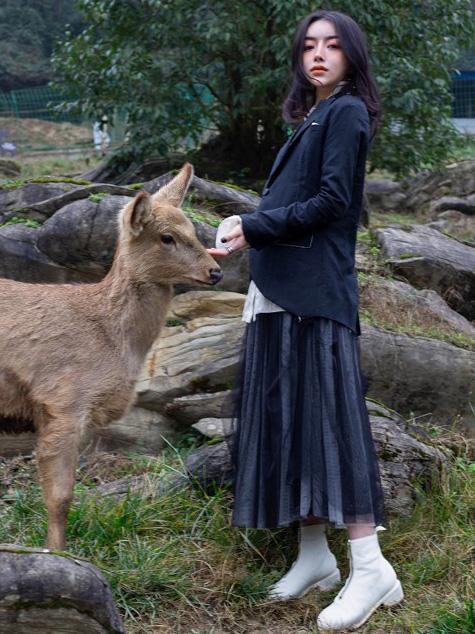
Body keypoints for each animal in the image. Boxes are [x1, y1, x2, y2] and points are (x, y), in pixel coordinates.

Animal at [0, 163, 223, 548]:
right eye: (166, 237)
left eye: (194, 230)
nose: (215, 271)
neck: (114, 339)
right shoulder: (63, 399)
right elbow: (60, 497)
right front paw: (57, 553)